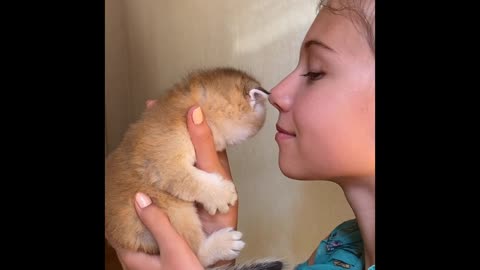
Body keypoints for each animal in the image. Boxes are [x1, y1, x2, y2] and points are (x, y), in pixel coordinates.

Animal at [103, 66, 280, 268]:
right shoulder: (165, 163)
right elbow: (193, 180)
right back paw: (222, 244)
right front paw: (221, 194)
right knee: (198, 254)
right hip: (175, 209)